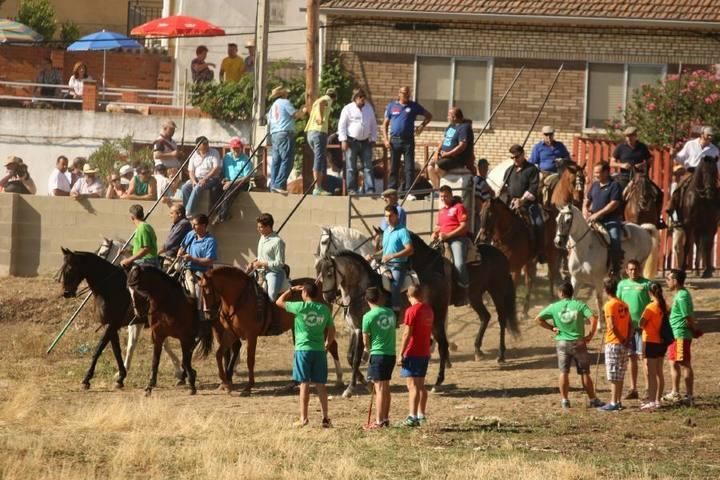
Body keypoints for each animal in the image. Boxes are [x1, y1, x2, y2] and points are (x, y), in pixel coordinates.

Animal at [126, 264, 212, 396]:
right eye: (129, 290)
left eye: (138, 288)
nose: (138, 313)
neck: (168, 305)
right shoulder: (158, 336)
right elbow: (155, 361)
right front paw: (149, 386)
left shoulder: (185, 337)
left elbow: (185, 359)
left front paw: (192, 384)